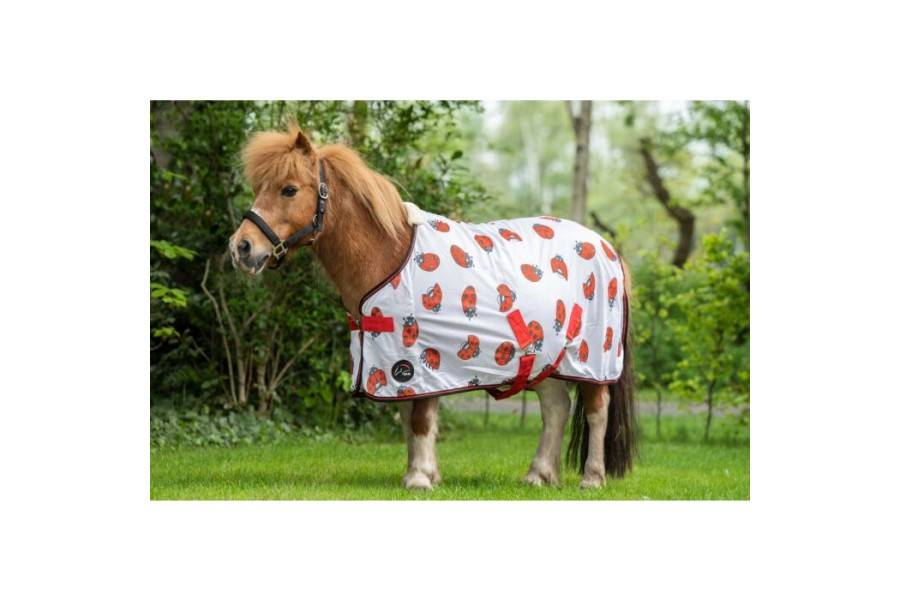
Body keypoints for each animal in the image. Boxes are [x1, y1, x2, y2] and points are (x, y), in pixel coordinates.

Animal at [229, 125, 637, 490]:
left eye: (289, 189)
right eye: (259, 188)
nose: (241, 247)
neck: (389, 257)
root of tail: (606, 248)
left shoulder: (418, 358)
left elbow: (421, 419)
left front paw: (420, 478)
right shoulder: (391, 363)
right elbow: (408, 417)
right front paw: (421, 472)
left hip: (592, 357)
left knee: (596, 409)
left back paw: (592, 478)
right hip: (546, 356)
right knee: (555, 407)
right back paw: (538, 475)